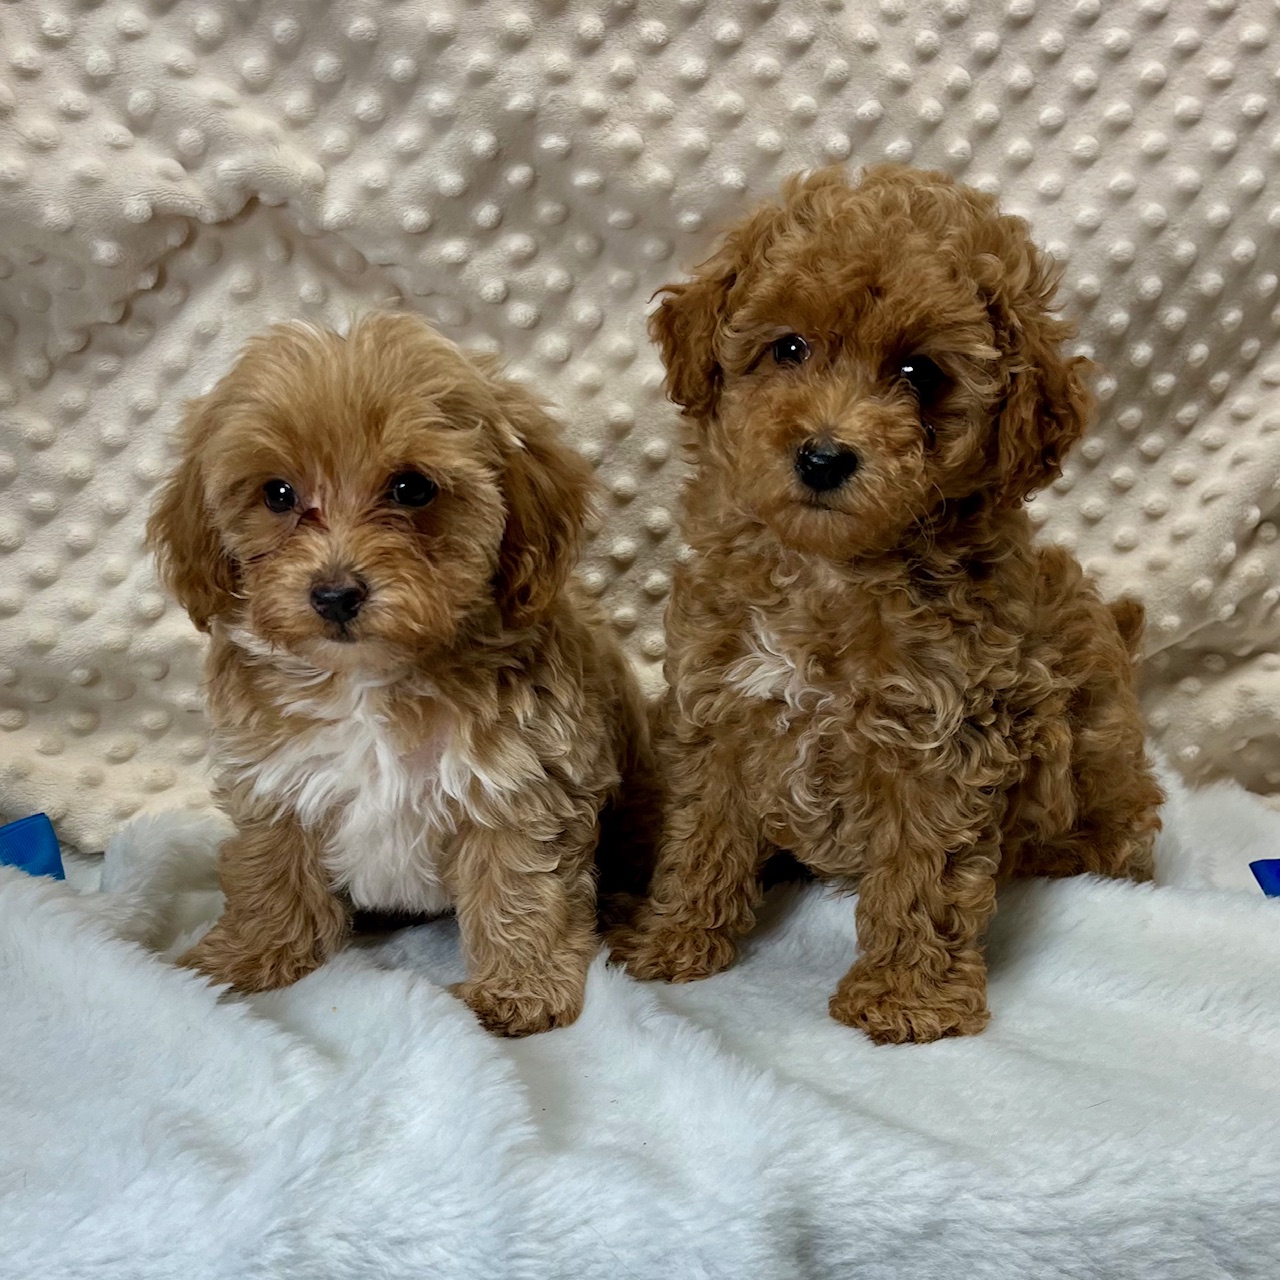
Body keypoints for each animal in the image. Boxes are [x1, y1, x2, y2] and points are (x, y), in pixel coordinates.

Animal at [146, 312, 655, 1039]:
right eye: (277, 494)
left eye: (412, 488)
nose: (335, 594)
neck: (370, 680)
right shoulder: (274, 779)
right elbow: (268, 868)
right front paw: (248, 953)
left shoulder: (522, 784)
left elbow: (521, 886)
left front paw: (519, 988)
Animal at [614, 165, 1167, 1044]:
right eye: (789, 348)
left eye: (919, 375)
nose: (823, 456)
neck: (832, 573)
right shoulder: (720, 709)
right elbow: (703, 833)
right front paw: (674, 940)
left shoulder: (947, 735)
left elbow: (924, 871)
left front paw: (907, 995)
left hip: (1102, 761)